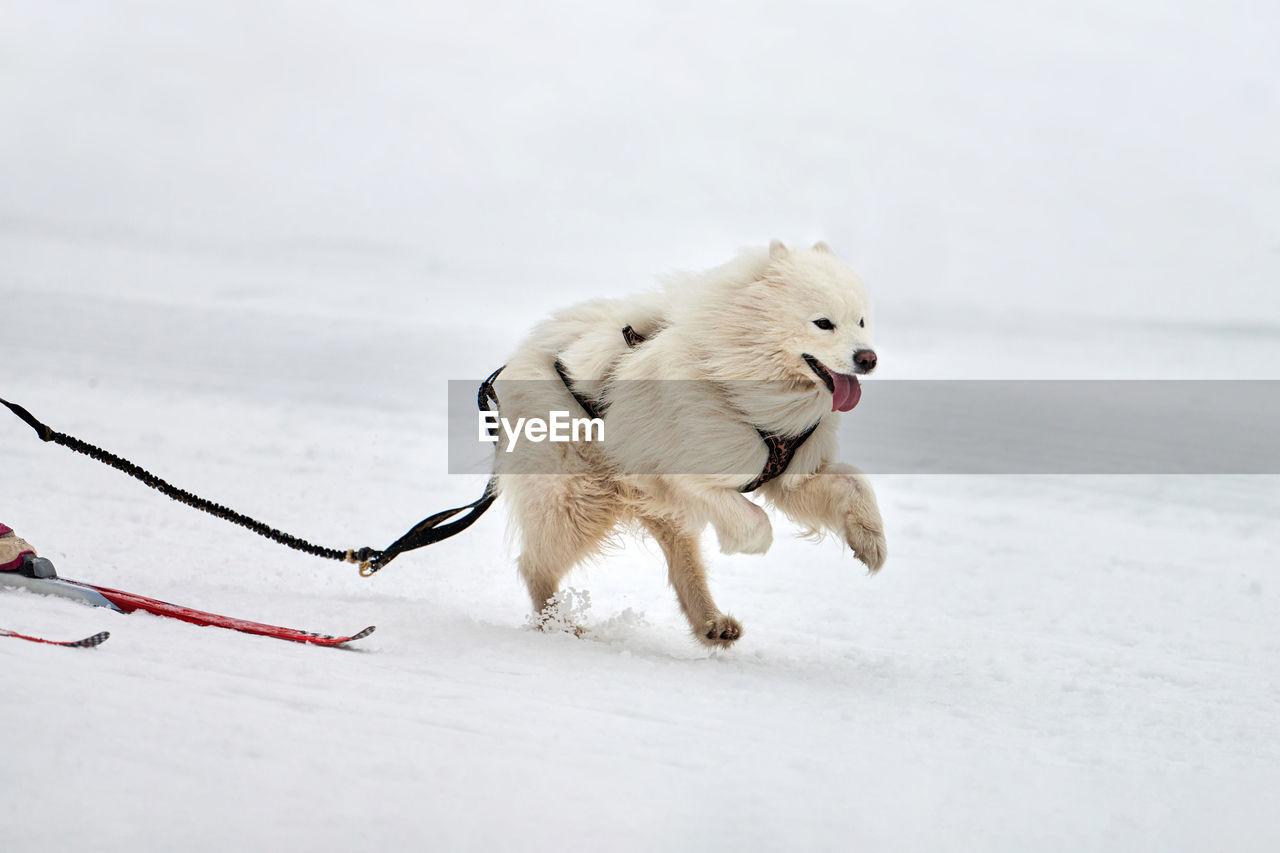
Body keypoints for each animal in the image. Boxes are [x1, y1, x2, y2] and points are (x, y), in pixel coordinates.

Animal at [494, 239, 885, 645]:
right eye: (823, 323)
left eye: (861, 321)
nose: (868, 358)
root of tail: (524, 354)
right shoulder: (676, 472)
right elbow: (753, 520)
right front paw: (749, 543)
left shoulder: (792, 472)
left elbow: (854, 482)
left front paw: (870, 542)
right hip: (581, 499)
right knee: (535, 564)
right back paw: (558, 624)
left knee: (680, 559)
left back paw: (712, 623)